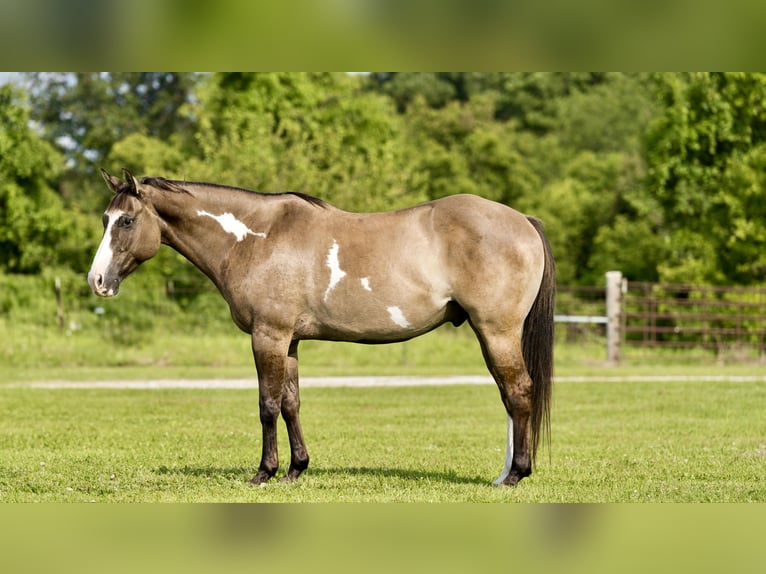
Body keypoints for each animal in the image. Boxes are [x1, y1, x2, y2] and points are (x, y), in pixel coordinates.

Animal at [88, 168, 555, 487]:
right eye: (105, 219)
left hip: (496, 331)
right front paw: (296, 469)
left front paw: (264, 472)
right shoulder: (289, 341)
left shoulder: (268, 336)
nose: (97, 280)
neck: (256, 239)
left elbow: (267, 405)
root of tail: (523, 220)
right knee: (509, 395)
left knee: (518, 392)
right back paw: (503, 474)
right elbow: (291, 403)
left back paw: (515, 475)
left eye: (126, 221)